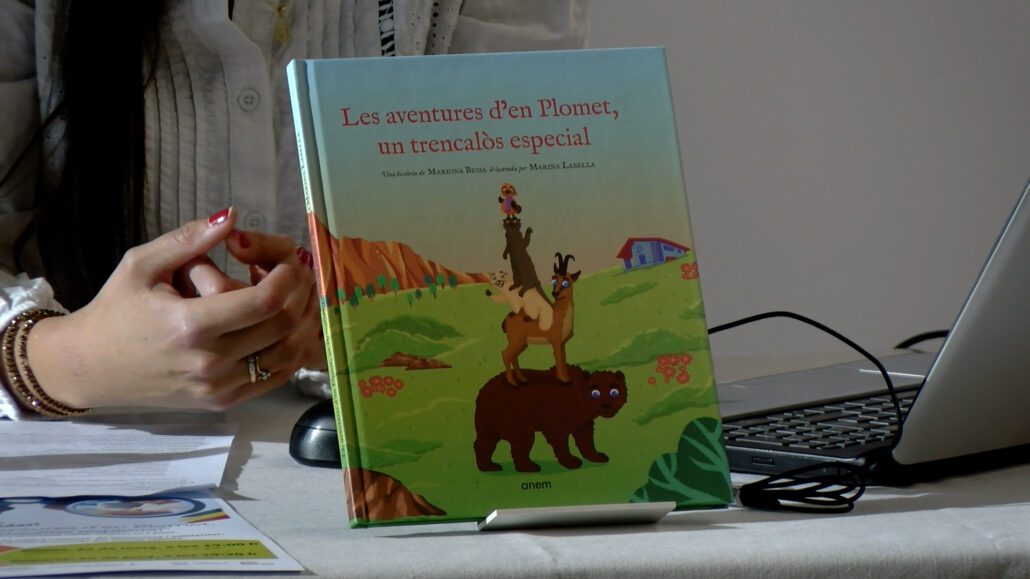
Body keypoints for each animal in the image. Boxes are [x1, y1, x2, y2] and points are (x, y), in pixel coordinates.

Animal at [501, 253, 580, 386]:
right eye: (553, 280)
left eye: (566, 282)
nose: (555, 293)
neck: (557, 315)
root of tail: (506, 319)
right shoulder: (555, 342)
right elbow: (559, 358)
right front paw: (563, 379)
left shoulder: (562, 343)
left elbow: (563, 358)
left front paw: (567, 378)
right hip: (516, 341)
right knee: (506, 355)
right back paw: (513, 383)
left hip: (522, 343)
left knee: (514, 357)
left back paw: (523, 379)